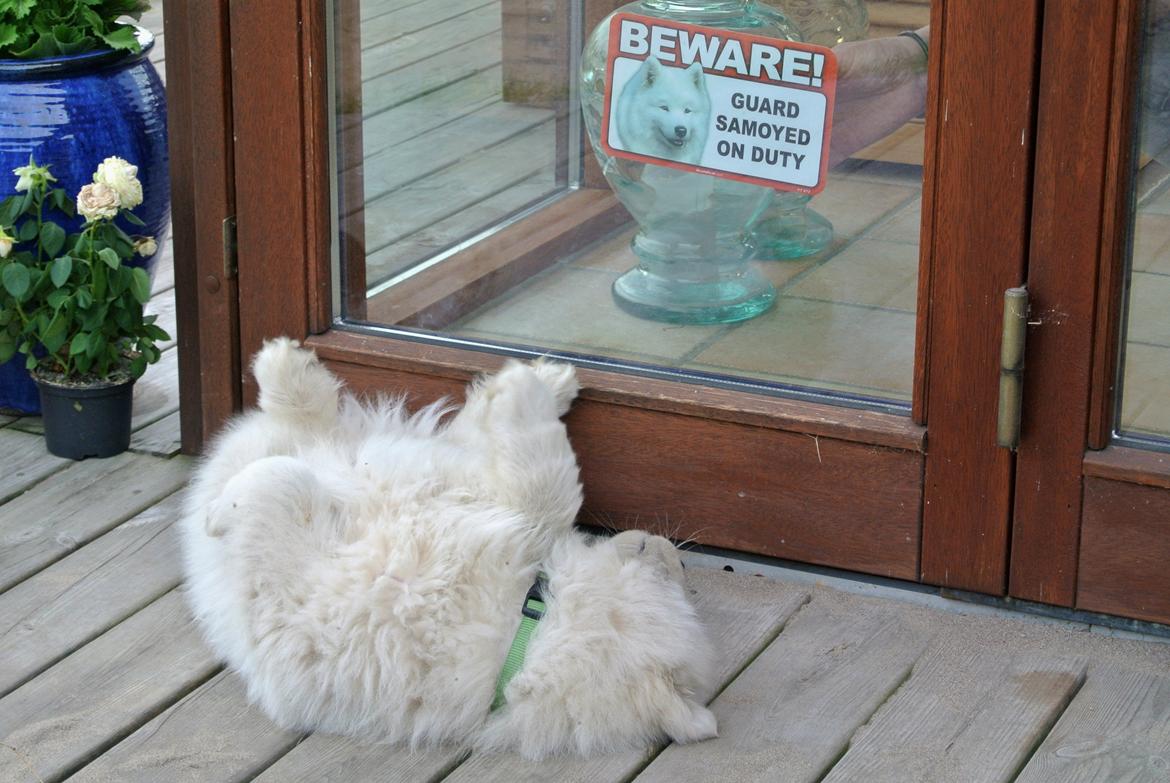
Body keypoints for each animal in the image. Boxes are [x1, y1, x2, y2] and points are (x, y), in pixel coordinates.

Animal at [179, 339, 716, 758]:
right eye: (668, 576)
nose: (671, 550)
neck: (527, 624)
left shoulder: (291, 595)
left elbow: (280, 484)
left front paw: (219, 513)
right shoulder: (496, 508)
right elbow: (550, 493)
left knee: (301, 435)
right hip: (423, 461)